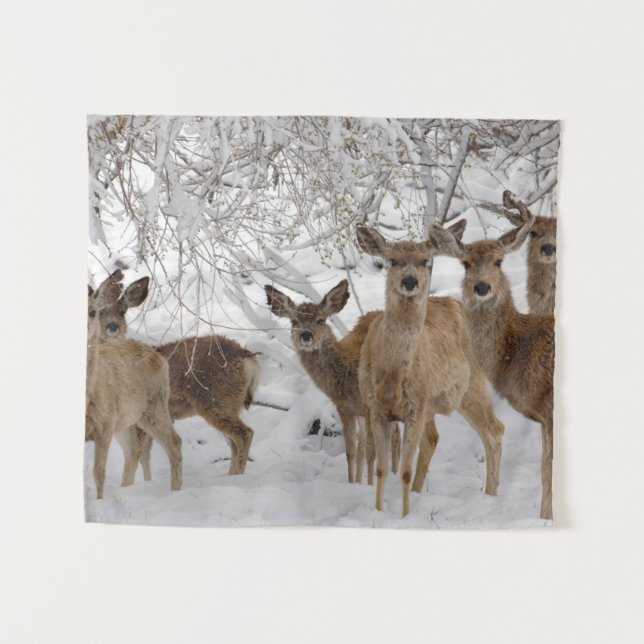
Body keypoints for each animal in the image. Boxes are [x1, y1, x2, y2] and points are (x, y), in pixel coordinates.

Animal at [86, 272, 182, 500]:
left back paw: (176, 491)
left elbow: (98, 473)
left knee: (172, 443)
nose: (112, 327)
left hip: (154, 406)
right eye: (100, 312)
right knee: (134, 452)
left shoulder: (104, 423)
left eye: (93, 311)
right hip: (128, 419)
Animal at [265, 283, 401, 485]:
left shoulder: (370, 407)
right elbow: (352, 452)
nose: (306, 335)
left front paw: (369, 486)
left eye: (321, 320)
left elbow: (372, 452)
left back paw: (396, 473)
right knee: (367, 442)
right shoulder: (345, 409)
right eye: (294, 322)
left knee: (396, 434)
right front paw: (353, 483)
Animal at [355, 225, 505, 517]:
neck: (392, 374)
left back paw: (491, 496)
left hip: (471, 386)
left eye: (426, 261)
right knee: (434, 439)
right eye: (392, 260)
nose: (409, 281)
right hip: (435, 403)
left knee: (495, 430)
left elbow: (403, 470)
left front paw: (404, 517)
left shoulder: (415, 407)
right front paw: (378, 512)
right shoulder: (375, 407)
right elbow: (381, 469)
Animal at [437, 191, 555, 520]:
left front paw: (546, 519)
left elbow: (547, 472)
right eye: (465, 264)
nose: (482, 287)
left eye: (499, 261)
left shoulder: (550, 409)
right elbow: (545, 472)